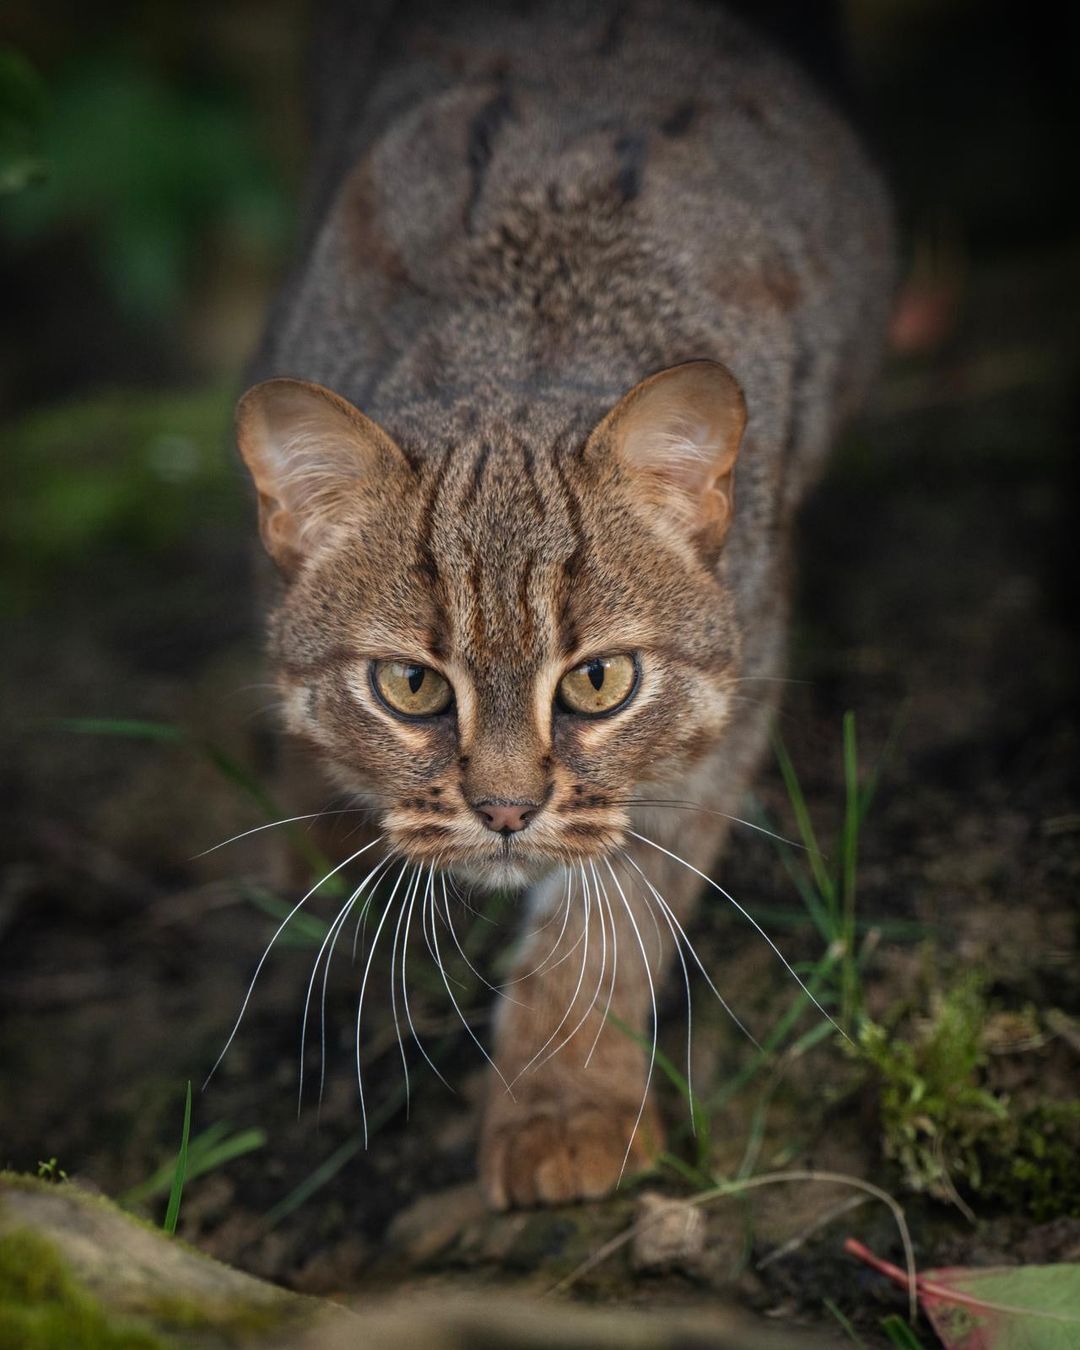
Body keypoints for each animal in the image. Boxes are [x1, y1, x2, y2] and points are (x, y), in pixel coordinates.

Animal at [238, 0, 896, 1209]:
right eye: (410, 687)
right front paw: (325, 824)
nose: (504, 813)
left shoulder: (729, 693)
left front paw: (560, 1100)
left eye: (598, 681)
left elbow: (612, 911)